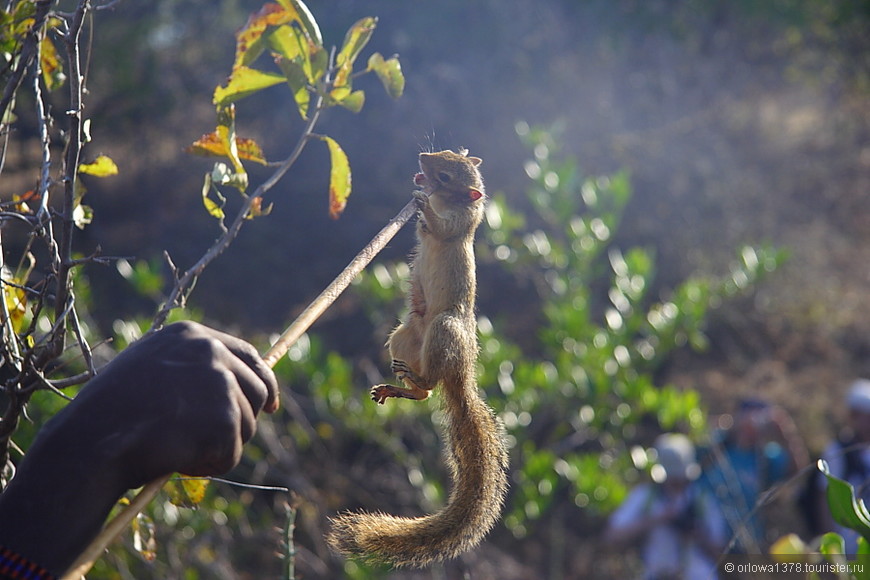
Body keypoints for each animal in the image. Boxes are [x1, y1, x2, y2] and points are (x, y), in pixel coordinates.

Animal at [330, 148, 516, 568]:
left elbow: (441, 228)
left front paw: (423, 205)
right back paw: (399, 386)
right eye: (446, 154)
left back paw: (417, 382)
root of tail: (460, 378)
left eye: (446, 176)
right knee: (424, 392)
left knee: (431, 385)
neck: (452, 201)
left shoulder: (460, 225)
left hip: (444, 330)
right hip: (404, 334)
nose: (422, 158)